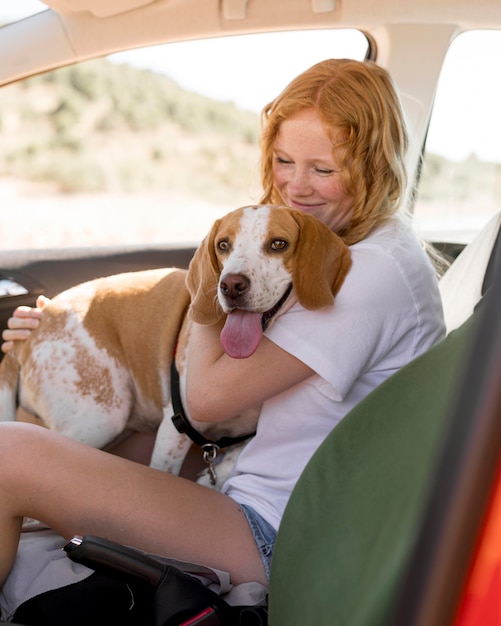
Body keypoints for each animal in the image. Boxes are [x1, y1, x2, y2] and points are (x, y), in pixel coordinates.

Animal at [0, 202, 352, 486]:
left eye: (279, 244)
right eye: (223, 245)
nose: (230, 285)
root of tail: (31, 332)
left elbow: (239, 454)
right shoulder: (175, 427)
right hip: (100, 417)